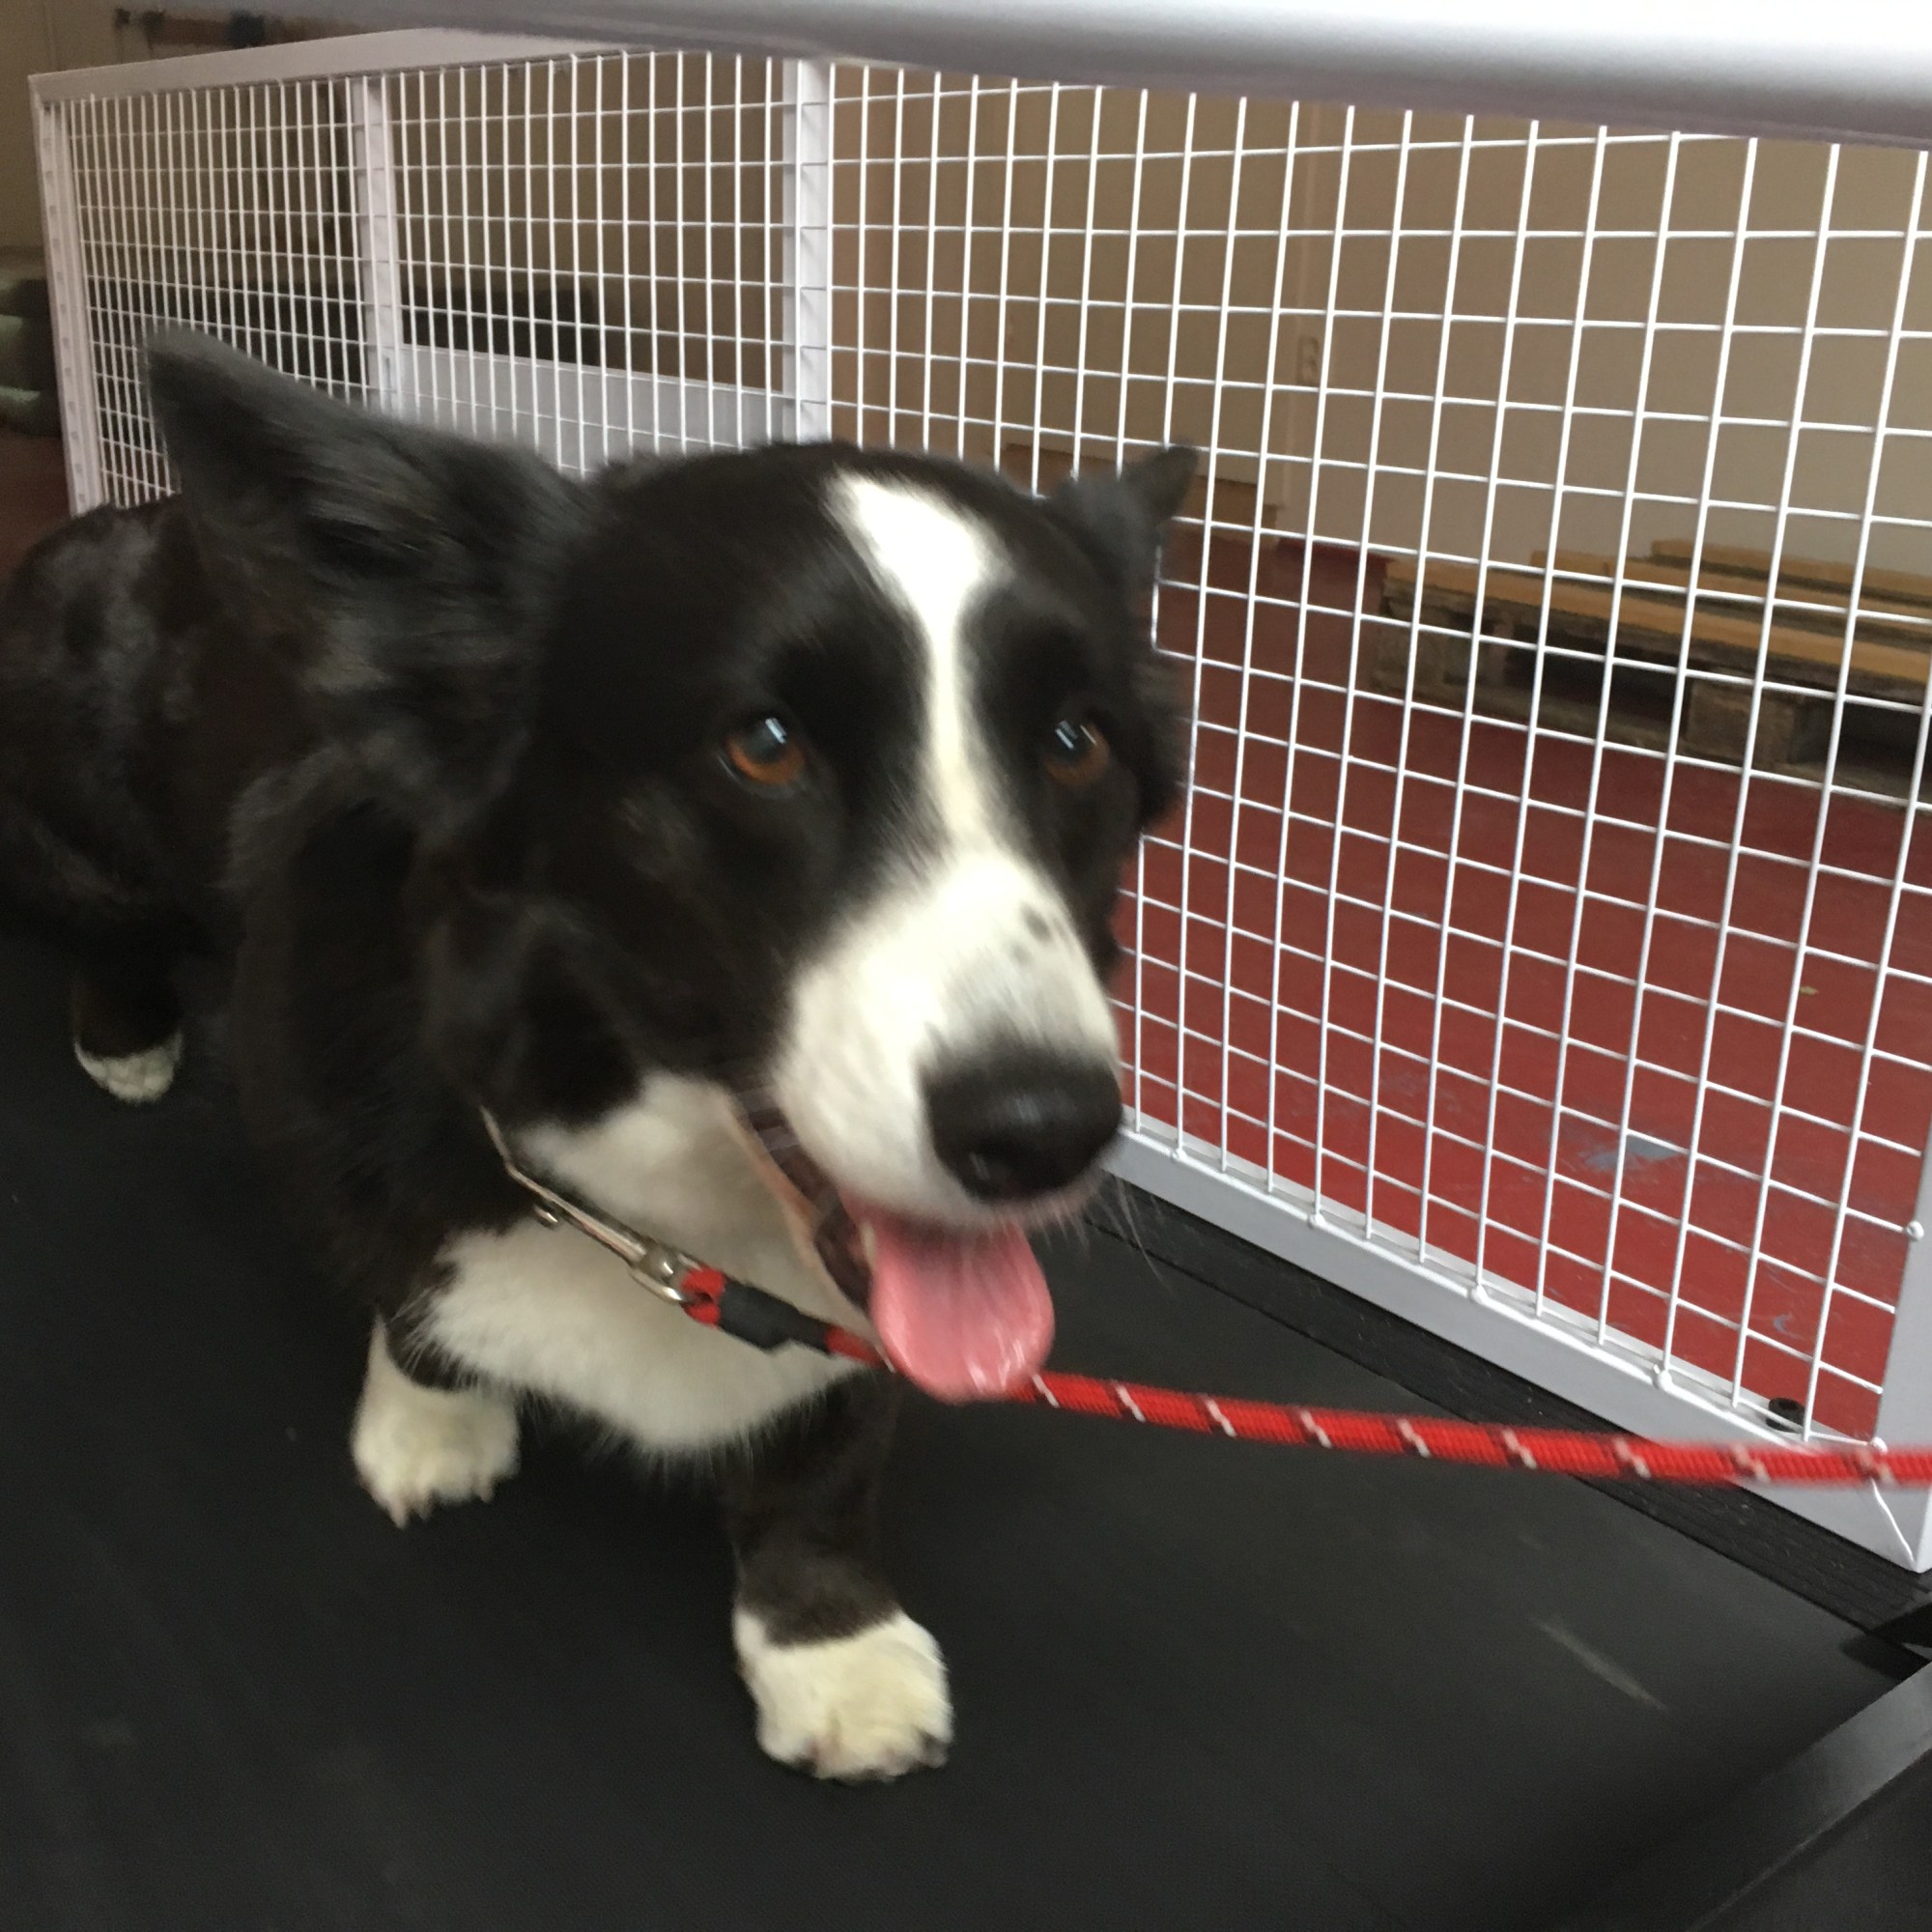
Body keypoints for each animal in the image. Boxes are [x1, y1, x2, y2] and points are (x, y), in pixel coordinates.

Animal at [0, 332, 1192, 1780]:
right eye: (765, 746)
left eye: (1077, 743)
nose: (1042, 1132)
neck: (681, 1218)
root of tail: (121, 513)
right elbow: (407, 1284)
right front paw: (432, 1426)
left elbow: (829, 1457)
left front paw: (830, 1645)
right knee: (99, 921)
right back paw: (124, 1034)